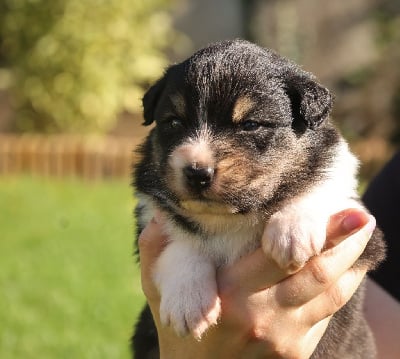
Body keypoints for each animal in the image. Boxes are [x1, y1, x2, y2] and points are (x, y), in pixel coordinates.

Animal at [130, 40, 384, 358]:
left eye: (250, 124)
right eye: (173, 122)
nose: (197, 172)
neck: (231, 217)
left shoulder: (364, 233)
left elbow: (320, 187)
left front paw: (292, 232)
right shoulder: (151, 217)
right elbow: (178, 241)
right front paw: (186, 303)